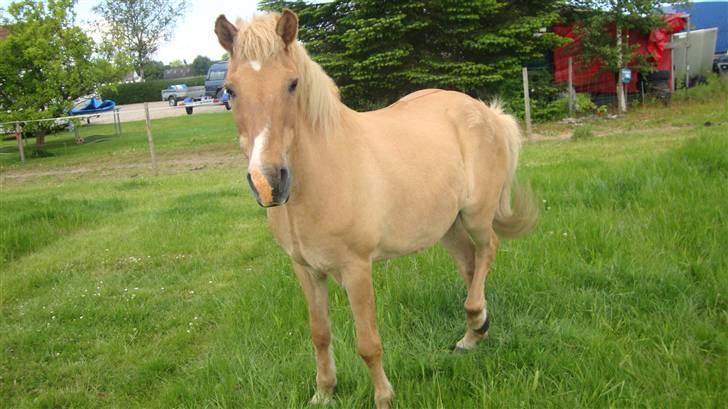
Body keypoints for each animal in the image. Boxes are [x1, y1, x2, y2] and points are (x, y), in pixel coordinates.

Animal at [213, 9, 536, 408]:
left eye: (292, 84)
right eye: (230, 90)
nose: (268, 182)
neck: (325, 173)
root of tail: (485, 111)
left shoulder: (356, 269)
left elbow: (368, 343)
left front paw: (384, 397)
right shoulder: (305, 269)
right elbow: (319, 334)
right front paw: (324, 393)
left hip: (475, 217)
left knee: (488, 249)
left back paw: (476, 319)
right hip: (447, 226)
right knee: (470, 265)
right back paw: (474, 334)